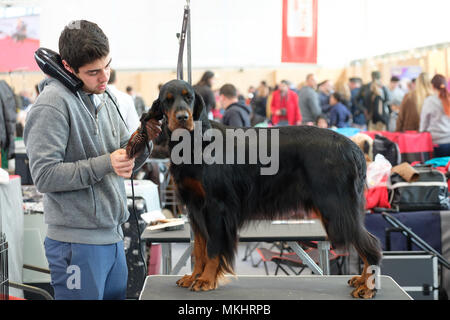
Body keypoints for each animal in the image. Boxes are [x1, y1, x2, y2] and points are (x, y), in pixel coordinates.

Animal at [126, 79, 384, 298]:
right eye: (167, 99)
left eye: (188, 97)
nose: (182, 117)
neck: (195, 143)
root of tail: (354, 147)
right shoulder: (196, 208)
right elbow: (198, 248)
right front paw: (194, 276)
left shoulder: (216, 206)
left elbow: (212, 248)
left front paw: (206, 279)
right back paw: (363, 281)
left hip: (335, 206)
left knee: (371, 244)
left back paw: (368, 287)